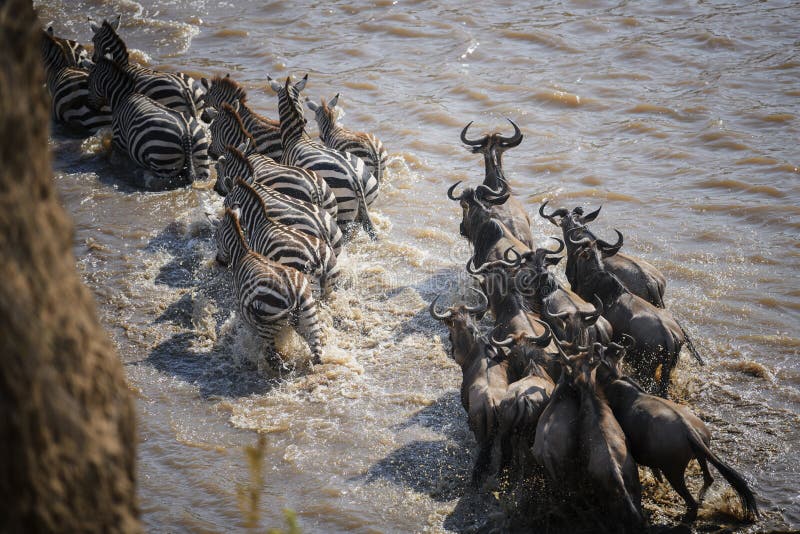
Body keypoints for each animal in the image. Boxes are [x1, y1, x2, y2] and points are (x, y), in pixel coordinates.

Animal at [86, 55, 209, 189]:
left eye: (89, 82)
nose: (90, 107)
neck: (123, 96)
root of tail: (186, 133)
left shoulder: (120, 140)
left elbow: (118, 158)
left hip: (163, 159)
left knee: (164, 181)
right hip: (201, 158)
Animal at [216, 207, 324, 366]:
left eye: (217, 236)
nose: (218, 261)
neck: (243, 254)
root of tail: (293, 292)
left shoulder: (242, 311)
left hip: (267, 320)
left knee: (273, 358)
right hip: (309, 312)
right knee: (317, 351)